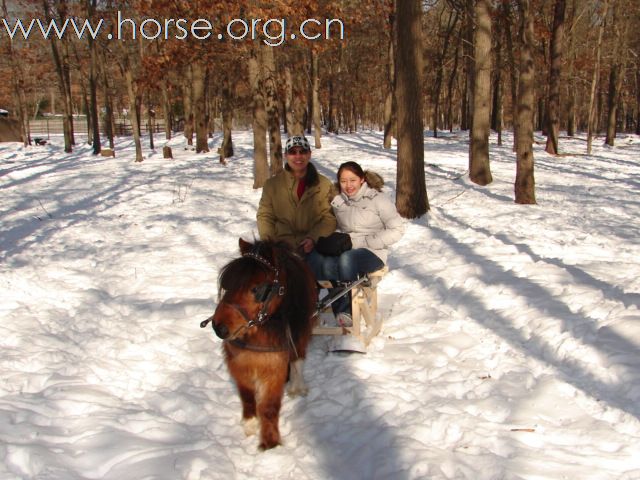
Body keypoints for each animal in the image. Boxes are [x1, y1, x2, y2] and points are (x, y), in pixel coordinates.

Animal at [202, 238, 318, 452]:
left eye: (257, 289)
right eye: (227, 284)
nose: (219, 327)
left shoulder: (274, 365)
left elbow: (269, 406)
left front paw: (270, 444)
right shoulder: (238, 362)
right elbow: (247, 396)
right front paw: (250, 424)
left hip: (301, 334)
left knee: (297, 359)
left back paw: (297, 387)